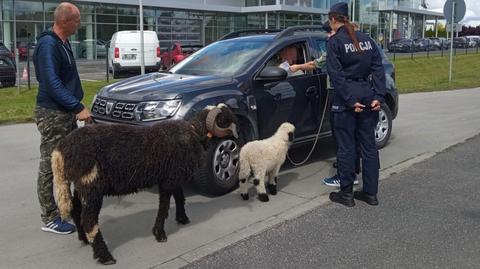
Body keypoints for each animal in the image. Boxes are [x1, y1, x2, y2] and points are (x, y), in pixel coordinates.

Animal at [52, 103, 238, 264]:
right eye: (225, 119)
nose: (237, 136)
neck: (193, 133)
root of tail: (60, 150)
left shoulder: (173, 176)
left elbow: (179, 197)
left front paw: (182, 218)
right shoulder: (168, 180)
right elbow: (164, 206)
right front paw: (160, 234)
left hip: (81, 184)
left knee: (76, 209)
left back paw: (84, 239)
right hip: (91, 185)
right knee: (89, 220)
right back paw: (105, 257)